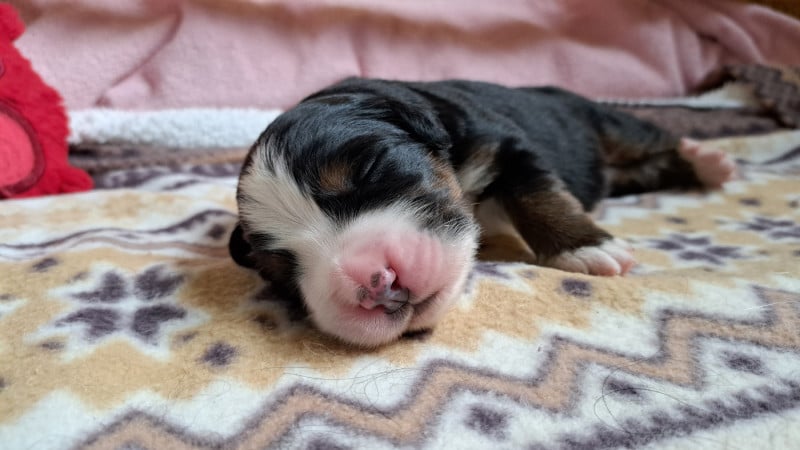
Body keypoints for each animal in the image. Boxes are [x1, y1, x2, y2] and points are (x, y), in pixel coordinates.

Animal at [229, 78, 735, 347]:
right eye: (282, 268)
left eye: (369, 167)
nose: (375, 285)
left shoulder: (506, 143)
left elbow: (538, 196)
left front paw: (586, 247)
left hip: (604, 122)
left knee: (649, 139)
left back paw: (709, 161)